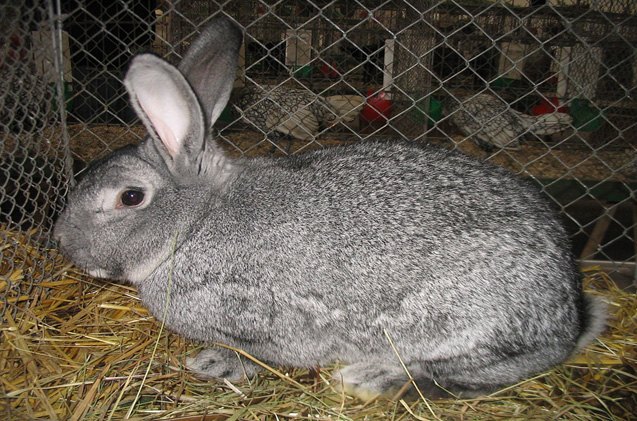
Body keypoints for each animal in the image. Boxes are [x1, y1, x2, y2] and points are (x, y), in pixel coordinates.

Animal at [52, 14, 604, 398]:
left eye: (130, 197)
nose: (60, 241)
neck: (194, 226)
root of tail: (568, 313)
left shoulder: (264, 318)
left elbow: (264, 354)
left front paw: (216, 365)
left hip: (466, 321)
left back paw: (372, 378)